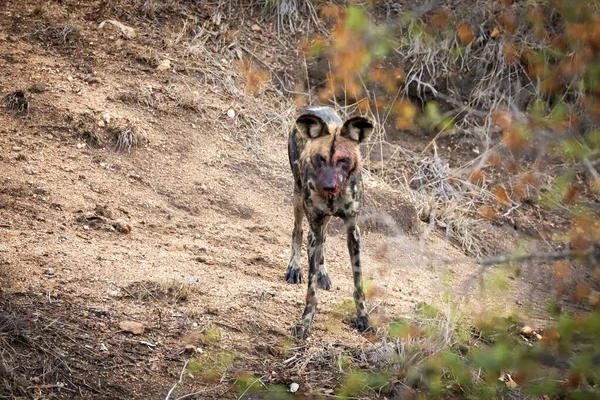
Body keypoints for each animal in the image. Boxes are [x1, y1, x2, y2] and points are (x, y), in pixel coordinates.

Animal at [288, 105, 376, 338]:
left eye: (343, 160)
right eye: (320, 158)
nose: (328, 186)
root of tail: (316, 108)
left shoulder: (353, 231)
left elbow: (358, 285)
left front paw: (363, 319)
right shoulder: (314, 225)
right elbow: (311, 292)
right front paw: (305, 322)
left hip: (324, 220)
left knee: (324, 239)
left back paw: (323, 273)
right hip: (298, 197)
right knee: (298, 231)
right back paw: (294, 268)